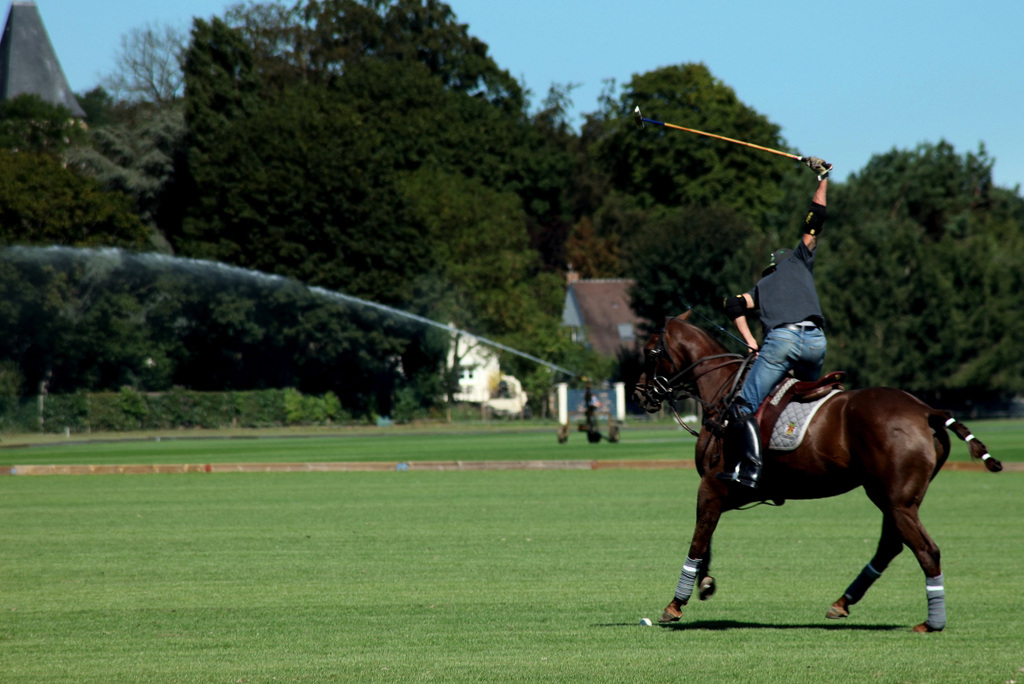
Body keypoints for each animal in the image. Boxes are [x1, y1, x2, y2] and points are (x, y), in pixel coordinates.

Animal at [634, 309, 1003, 630]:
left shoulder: (712, 485)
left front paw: (675, 604)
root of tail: (927, 411)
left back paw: (931, 622)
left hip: (896, 499)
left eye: (649, 351)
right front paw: (706, 582)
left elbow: (698, 539)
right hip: (895, 497)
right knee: (892, 545)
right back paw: (843, 602)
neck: (723, 390)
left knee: (926, 550)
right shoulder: (731, 490)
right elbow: (707, 536)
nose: (641, 395)